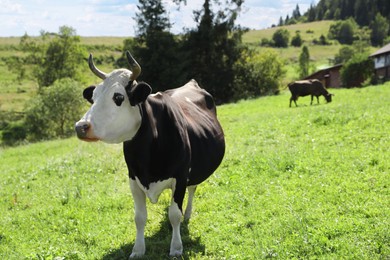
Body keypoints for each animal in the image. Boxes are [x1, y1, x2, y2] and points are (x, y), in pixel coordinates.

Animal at [74, 51, 225, 258]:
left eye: (118, 97)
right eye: (94, 97)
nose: (80, 127)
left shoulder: (180, 177)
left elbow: (174, 215)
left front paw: (176, 247)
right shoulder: (133, 179)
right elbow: (139, 217)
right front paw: (138, 250)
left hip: (194, 171)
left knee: (192, 189)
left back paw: (187, 214)